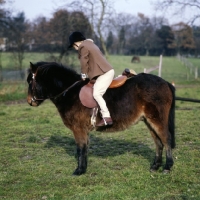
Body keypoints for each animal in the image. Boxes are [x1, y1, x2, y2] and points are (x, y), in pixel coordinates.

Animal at [26, 61, 175, 176]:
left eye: (30, 81)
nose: (29, 101)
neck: (70, 92)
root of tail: (165, 82)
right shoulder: (83, 130)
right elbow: (85, 148)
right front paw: (83, 168)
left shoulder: (78, 129)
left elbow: (80, 148)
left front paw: (79, 171)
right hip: (149, 121)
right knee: (158, 142)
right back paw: (155, 166)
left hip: (157, 120)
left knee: (166, 139)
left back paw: (167, 167)